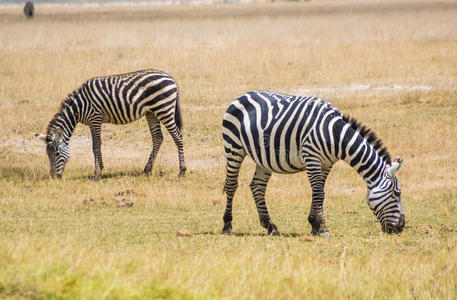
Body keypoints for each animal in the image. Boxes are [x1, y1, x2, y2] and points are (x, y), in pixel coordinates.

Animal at [43, 69, 185, 180]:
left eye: (56, 154)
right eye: (48, 155)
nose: (53, 177)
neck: (79, 107)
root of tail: (171, 79)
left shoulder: (95, 119)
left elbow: (95, 146)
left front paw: (97, 173)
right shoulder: (95, 121)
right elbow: (98, 145)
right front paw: (101, 168)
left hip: (164, 109)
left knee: (178, 137)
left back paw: (182, 171)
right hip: (151, 112)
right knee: (157, 138)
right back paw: (147, 170)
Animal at [221, 90, 402, 236]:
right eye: (397, 193)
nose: (401, 227)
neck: (335, 135)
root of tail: (243, 95)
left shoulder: (327, 164)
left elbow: (319, 192)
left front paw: (314, 225)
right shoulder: (312, 158)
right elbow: (319, 193)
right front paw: (322, 228)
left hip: (263, 157)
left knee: (257, 186)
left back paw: (270, 226)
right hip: (234, 147)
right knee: (231, 185)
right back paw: (227, 226)